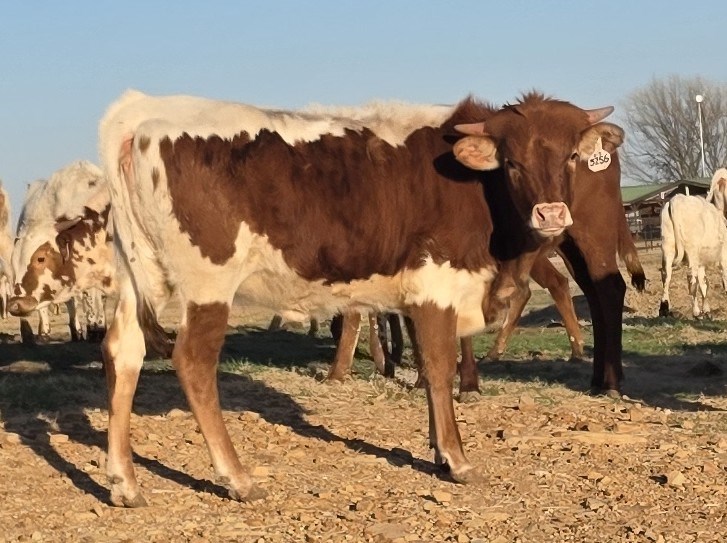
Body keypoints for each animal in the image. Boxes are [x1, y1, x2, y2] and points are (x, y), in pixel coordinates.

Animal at [98, 89, 627, 507]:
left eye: (571, 157)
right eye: (512, 163)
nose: (551, 213)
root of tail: (145, 108)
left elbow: (429, 366)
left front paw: (437, 451)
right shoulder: (437, 283)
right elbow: (439, 368)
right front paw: (456, 459)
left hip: (140, 274)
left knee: (124, 351)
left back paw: (124, 482)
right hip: (207, 281)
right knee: (193, 362)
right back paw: (237, 478)